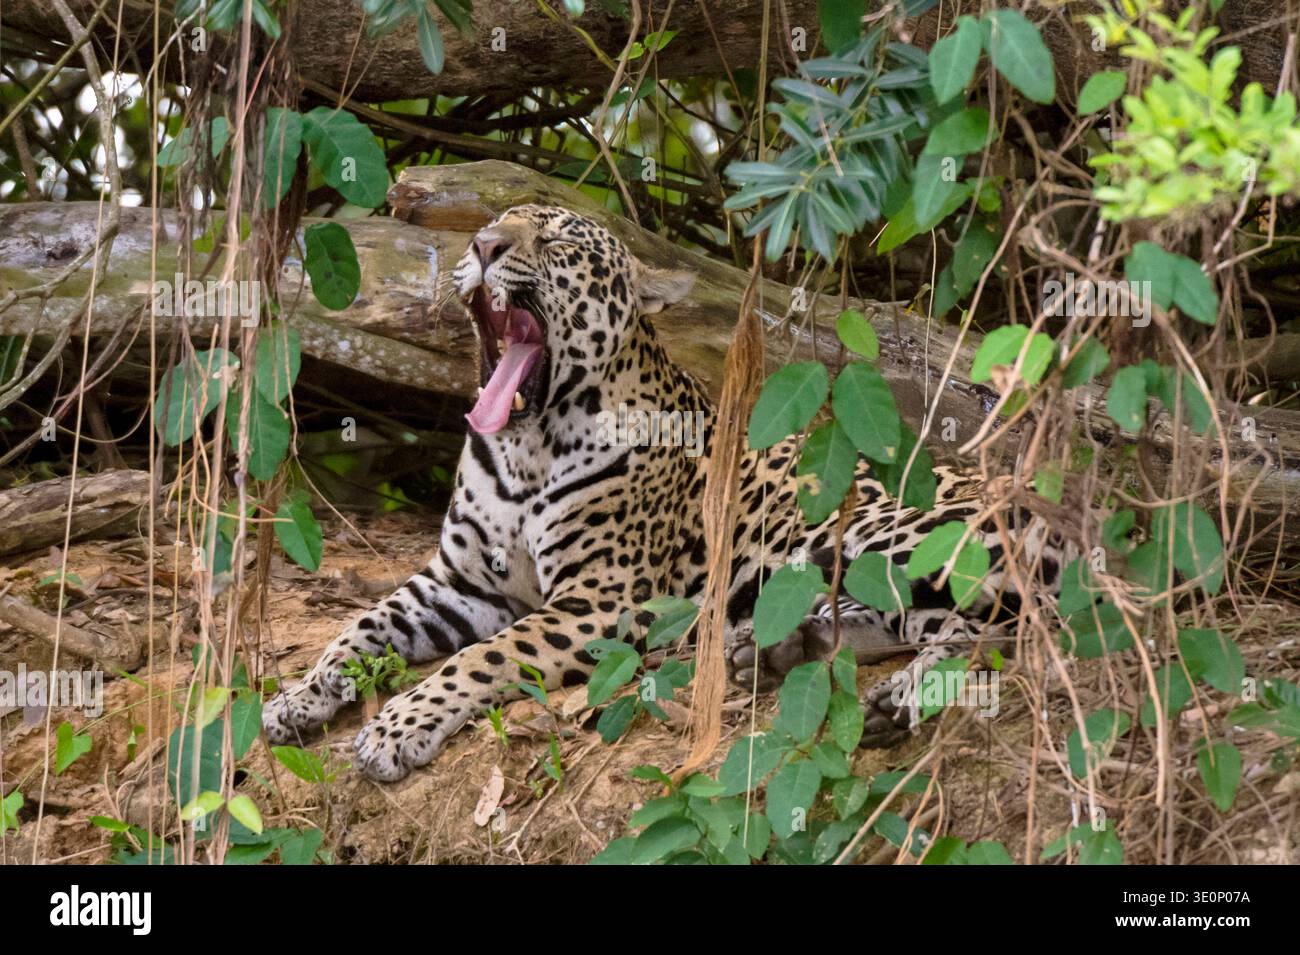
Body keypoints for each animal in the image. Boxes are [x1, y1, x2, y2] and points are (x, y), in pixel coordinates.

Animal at [262, 204, 1063, 782]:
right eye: (492, 224)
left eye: (556, 239)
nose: (484, 245)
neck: (526, 445)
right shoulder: (458, 582)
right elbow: (360, 626)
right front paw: (298, 696)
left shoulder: (598, 601)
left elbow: (481, 659)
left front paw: (395, 729)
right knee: (931, 620)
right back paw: (782, 647)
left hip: (890, 528)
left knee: (1016, 626)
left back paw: (899, 692)